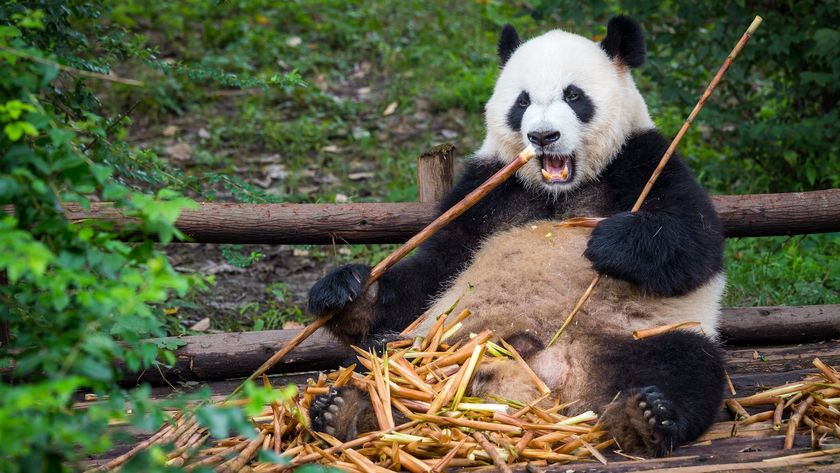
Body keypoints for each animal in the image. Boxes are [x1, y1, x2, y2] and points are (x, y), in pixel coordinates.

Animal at [306, 16, 724, 456]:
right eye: (521, 102)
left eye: (574, 95)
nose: (542, 136)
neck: (558, 192)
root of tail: (545, 376)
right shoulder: (486, 187)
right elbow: (435, 267)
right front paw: (346, 291)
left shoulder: (644, 158)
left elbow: (694, 242)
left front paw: (607, 242)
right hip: (438, 342)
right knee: (375, 362)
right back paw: (346, 411)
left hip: (634, 335)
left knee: (685, 363)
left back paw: (646, 417)